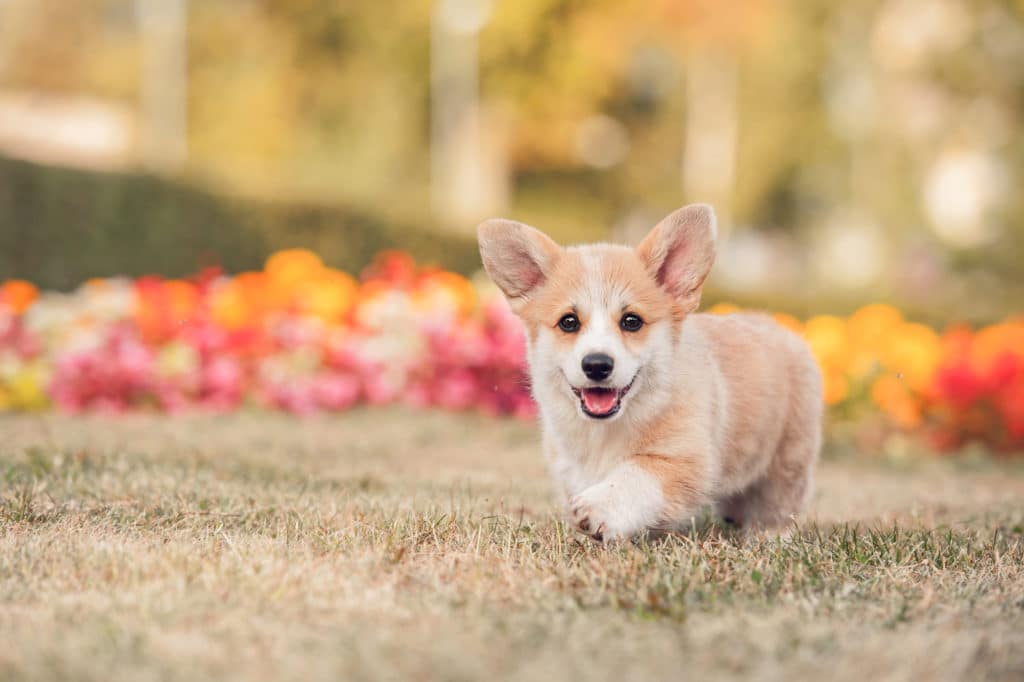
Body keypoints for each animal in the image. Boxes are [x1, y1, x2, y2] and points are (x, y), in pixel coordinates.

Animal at [477, 204, 823, 540]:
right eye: (568, 322)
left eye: (632, 321)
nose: (597, 365)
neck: (607, 430)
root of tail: (782, 328)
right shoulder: (570, 467)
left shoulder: (684, 460)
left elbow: (635, 476)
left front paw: (598, 509)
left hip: (787, 461)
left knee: (778, 504)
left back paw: (767, 535)